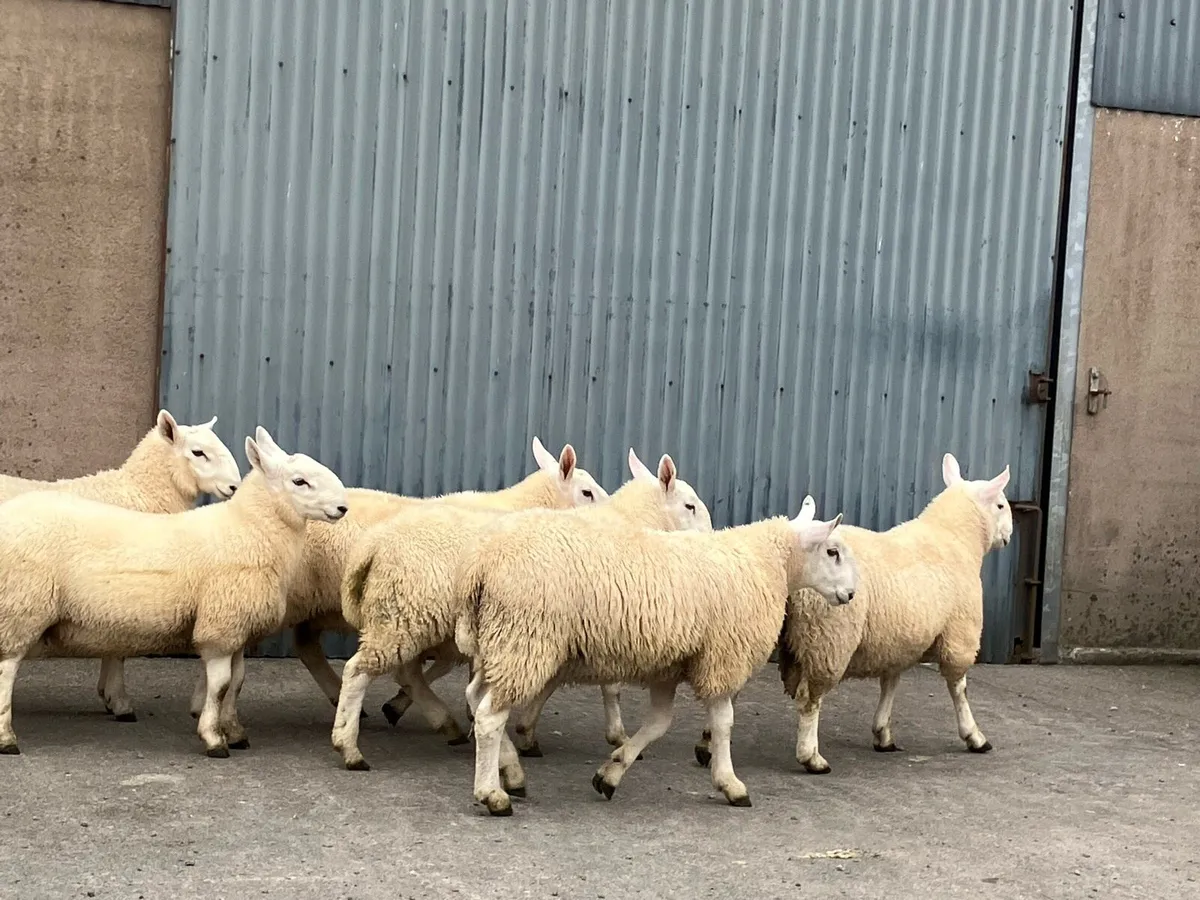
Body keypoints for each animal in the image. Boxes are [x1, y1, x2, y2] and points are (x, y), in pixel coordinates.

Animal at [330, 448, 709, 772]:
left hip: (400, 615)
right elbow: (609, 687)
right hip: (404, 617)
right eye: (690, 505)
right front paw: (617, 735)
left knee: (403, 671)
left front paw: (522, 731)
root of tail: (374, 545)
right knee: (358, 672)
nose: (710, 535)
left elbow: (546, 682)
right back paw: (350, 747)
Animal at [456, 497, 857, 816]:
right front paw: (730, 783)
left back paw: (511, 771)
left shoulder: (669, 667)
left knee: (476, 699)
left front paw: (611, 773)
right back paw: (492, 795)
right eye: (832, 551)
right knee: (490, 716)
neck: (766, 564)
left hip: (499, 641)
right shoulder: (722, 657)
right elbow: (724, 723)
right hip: (524, 637)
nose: (852, 594)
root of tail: (483, 565)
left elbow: (658, 724)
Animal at [695, 452, 1011, 776]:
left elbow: (890, 683)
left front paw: (883, 733)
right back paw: (811, 757)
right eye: (1001, 504)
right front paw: (974, 736)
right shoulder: (960, 635)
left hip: (749, 631)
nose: (1008, 535)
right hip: (827, 640)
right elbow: (959, 689)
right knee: (809, 700)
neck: (956, 539)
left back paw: (707, 746)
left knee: (729, 691)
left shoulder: (898, 639)